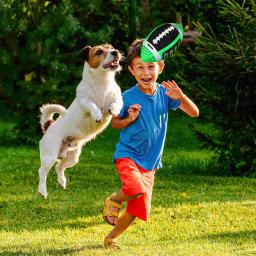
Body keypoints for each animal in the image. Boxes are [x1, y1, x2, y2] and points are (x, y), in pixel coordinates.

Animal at [37, 44, 124, 198]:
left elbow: (116, 103)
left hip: (72, 157)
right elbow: (92, 105)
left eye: (111, 47)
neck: (102, 83)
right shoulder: (84, 101)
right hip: (50, 155)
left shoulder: (118, 98)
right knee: (42, 171)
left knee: (59, 167)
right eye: (99, 52)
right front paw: (97, 114)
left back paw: (62, 182)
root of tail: (49, 126)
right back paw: (42, 191)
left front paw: (113, 110)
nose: (116, 52)